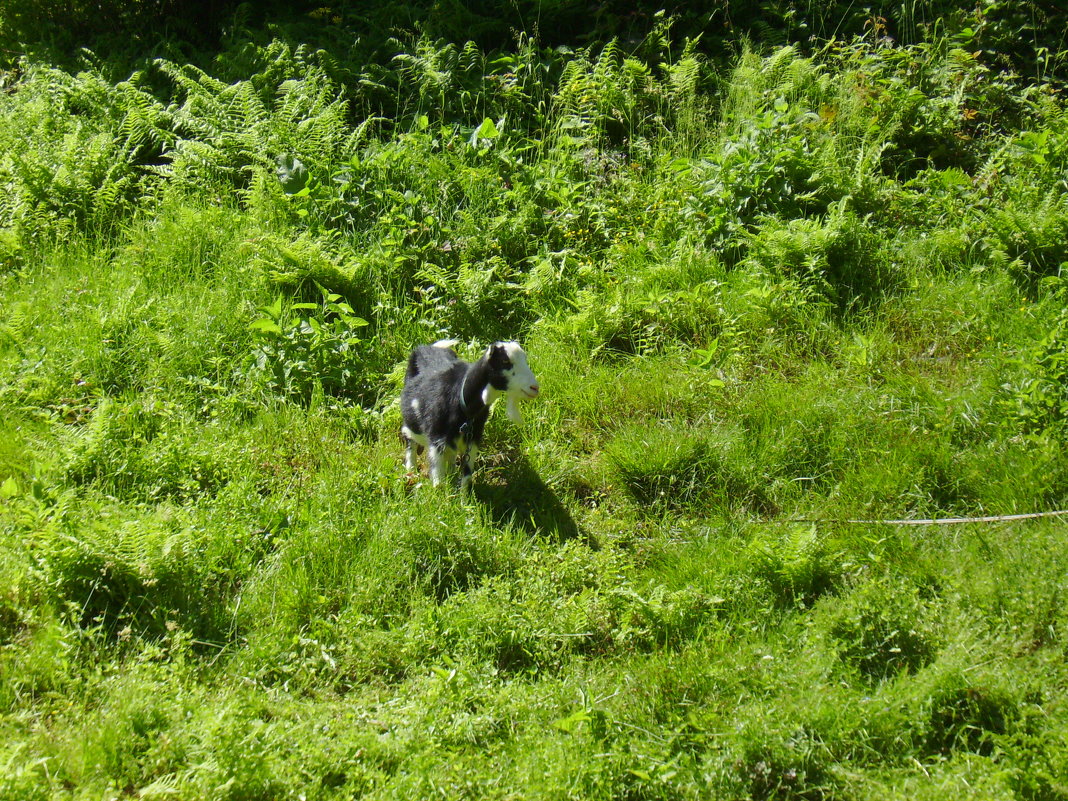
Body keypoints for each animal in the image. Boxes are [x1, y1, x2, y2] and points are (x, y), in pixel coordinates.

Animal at [401, 339, 538, 489]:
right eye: (505, 361)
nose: (534, 387)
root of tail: (429, 347)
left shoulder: (473, 438)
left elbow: (466, 476)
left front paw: (463, 495)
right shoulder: (436, 439)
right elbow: (438, 479)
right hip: (411, 423)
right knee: (409, 440)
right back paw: (411, 472)